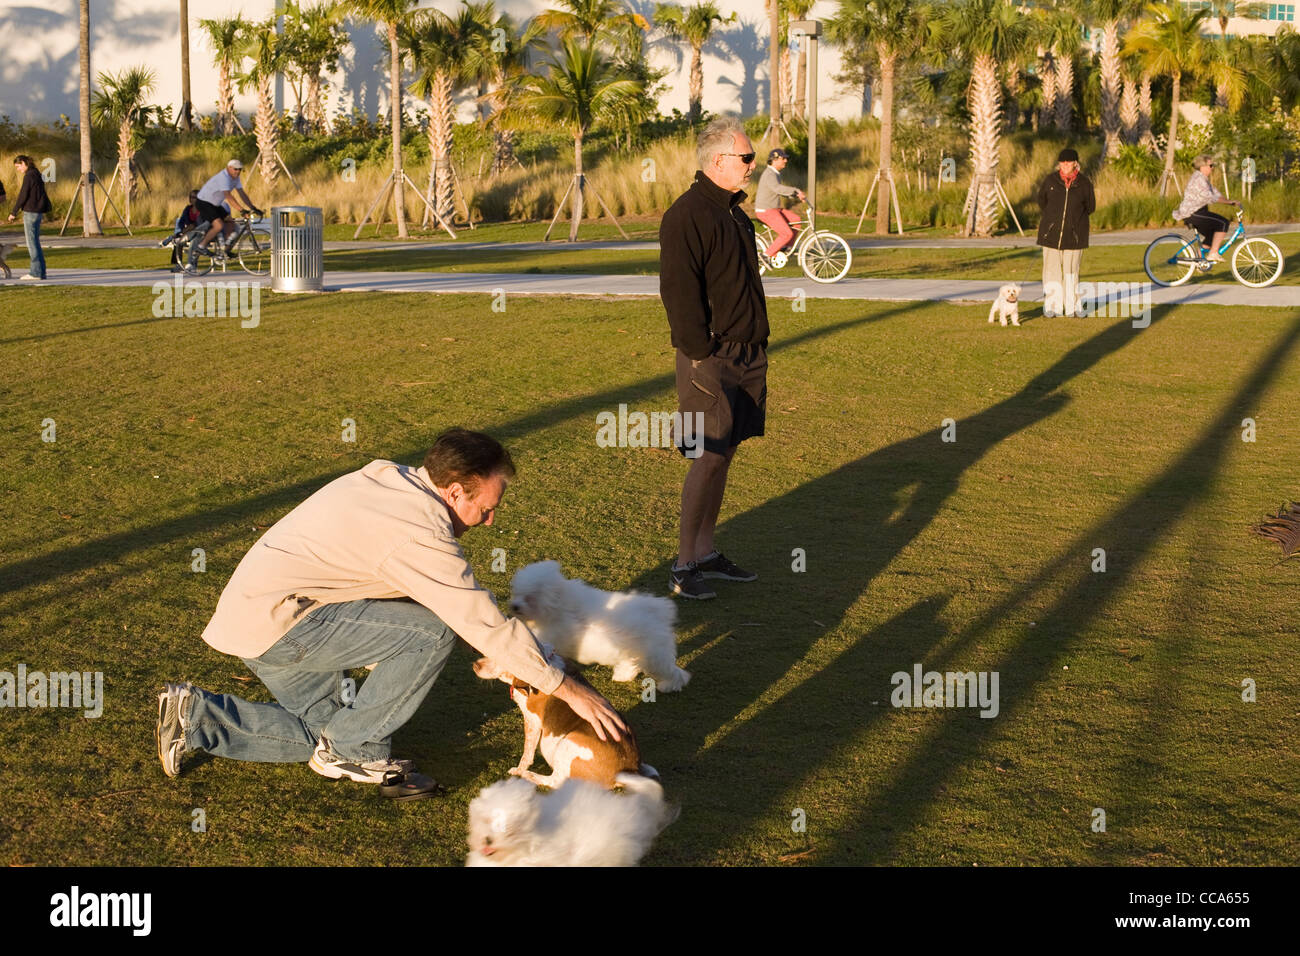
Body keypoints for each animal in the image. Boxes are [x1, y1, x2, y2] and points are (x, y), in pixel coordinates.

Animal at [506, 556, 691, 691]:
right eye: (517, 592)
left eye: (530, 597)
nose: (514, 606)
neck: (559, 604)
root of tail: (658, 612)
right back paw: (622, 675)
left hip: (654, 657)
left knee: (672, 671)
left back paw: (670, 685)